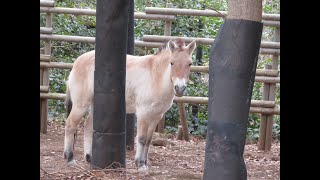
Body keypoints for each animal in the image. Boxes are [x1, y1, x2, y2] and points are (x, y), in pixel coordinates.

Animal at [63, 38, 196, 171]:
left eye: (190, 64)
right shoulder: (143, 114)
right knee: (70, 125)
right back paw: (70, 159)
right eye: (171, 63)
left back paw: (89, 158)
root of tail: (77, 62)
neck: (155, 77)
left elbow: (148, 140)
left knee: (87, 126)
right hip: (80, 105)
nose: (180, 88)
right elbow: (142, 139)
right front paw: (140, 165)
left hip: (95, 106)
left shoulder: (156, 116)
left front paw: (145, 163)